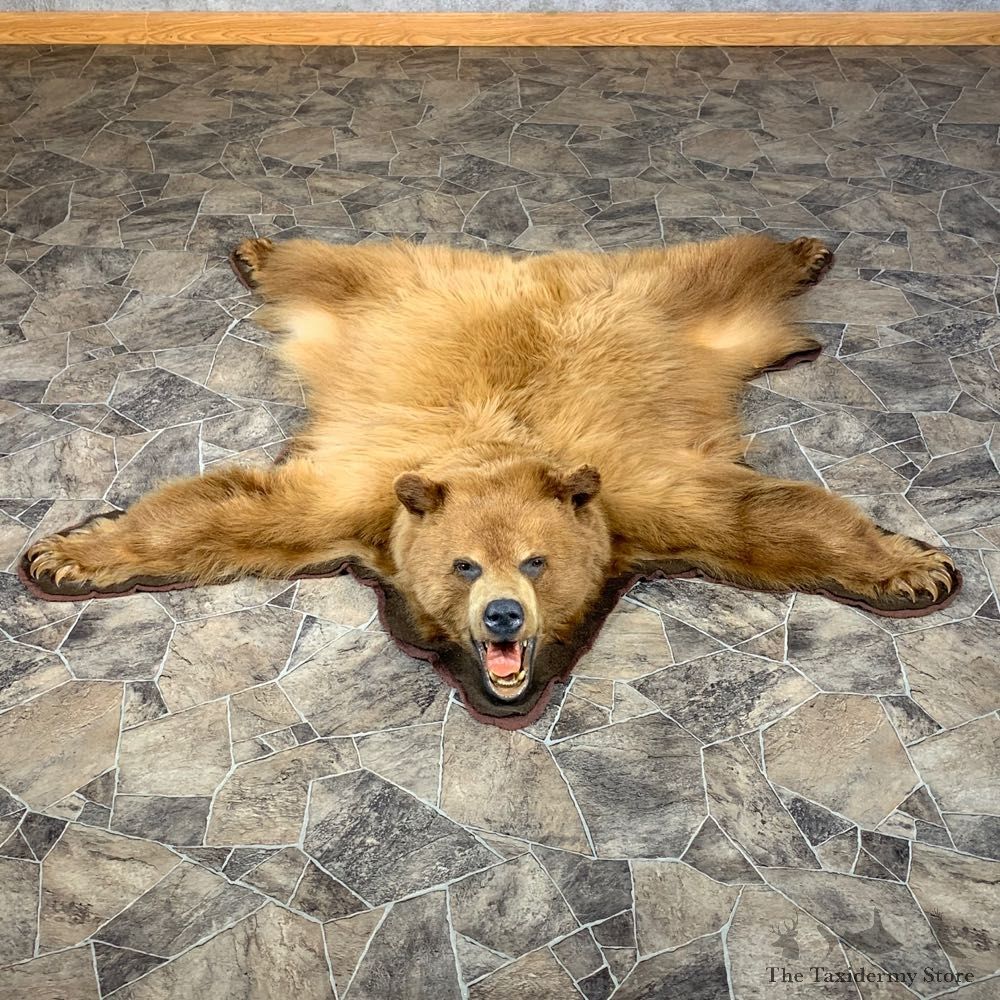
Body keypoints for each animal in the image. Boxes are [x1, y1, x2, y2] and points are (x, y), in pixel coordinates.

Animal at [25, 233, 959, 710]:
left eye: (537, 562)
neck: (499, 448)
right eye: (464, 565)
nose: (504, 617)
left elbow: (760, 515)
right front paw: (68, 554)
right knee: (327, 263)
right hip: (393, 287)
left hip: (661, 302)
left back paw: (804, 248)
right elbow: (231, 506)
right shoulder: (359, 498)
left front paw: (911, 566)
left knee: (717, 265)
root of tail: (527, 265)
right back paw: (256, 250)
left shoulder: (636, 495)